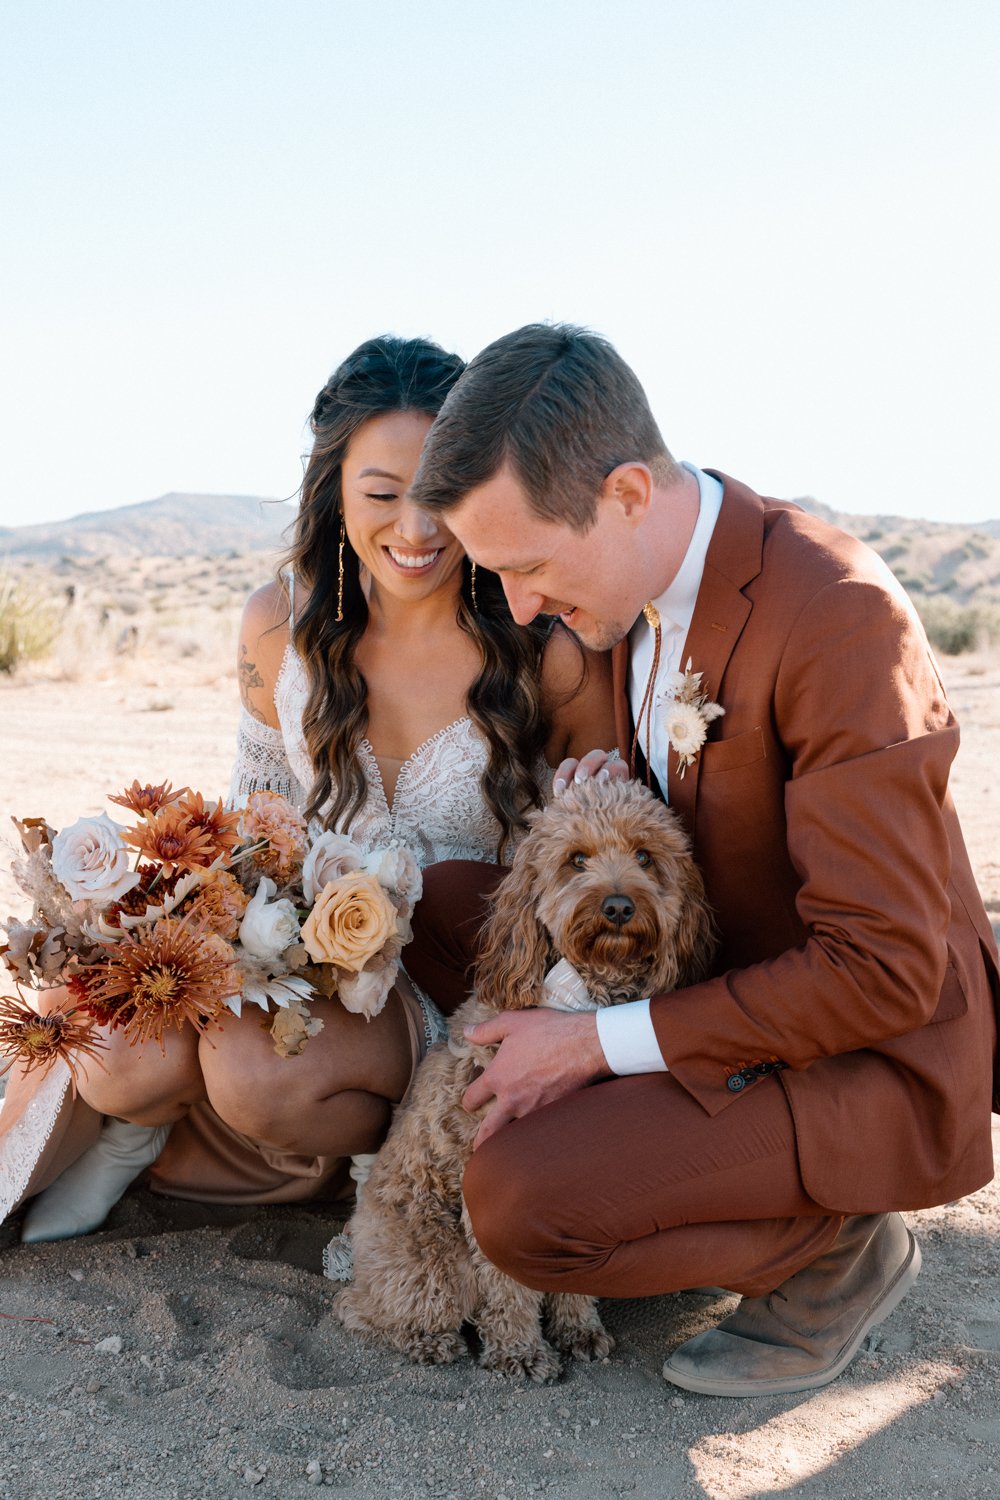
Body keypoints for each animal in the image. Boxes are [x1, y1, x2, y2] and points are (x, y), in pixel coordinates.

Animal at [332, 786, 716, 1380]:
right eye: (576, 859)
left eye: (646, 856)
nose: (618, 906)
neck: (584, 997)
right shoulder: (479, 1170)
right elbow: (506, 1281)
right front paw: (519, 1350)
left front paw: (578, 1330)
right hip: (430, 1252)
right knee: (373, 1307)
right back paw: (425, 1338)